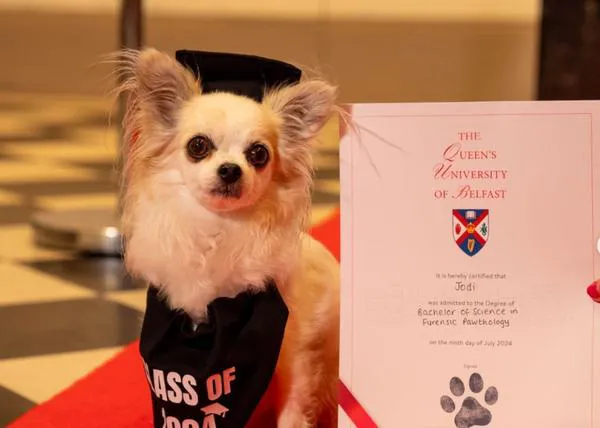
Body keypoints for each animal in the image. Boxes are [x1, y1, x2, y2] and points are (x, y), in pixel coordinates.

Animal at [117, 48, 342, 426]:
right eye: (198, 145)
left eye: (258, 154)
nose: (230, 169)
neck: (218, 230)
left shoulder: (294, 352)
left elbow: (293, 408)